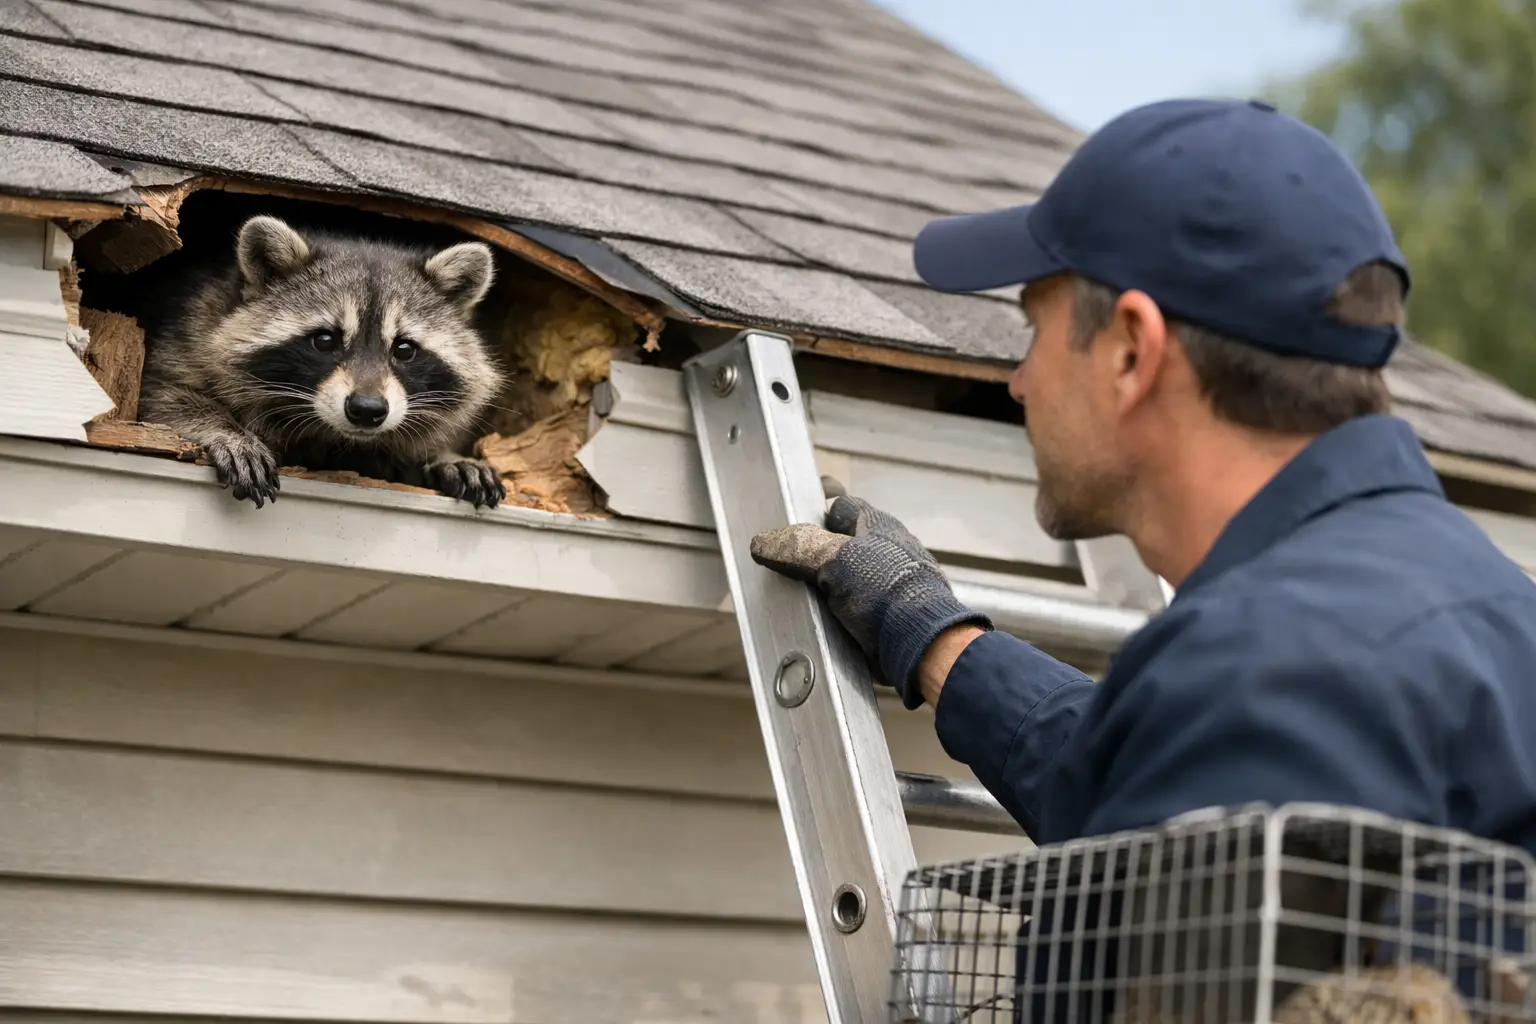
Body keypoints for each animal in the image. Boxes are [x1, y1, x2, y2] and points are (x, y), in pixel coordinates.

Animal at [138, 214, 508, 509]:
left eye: (404, 349)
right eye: (325, 341)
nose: (368, 409)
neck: (333, 437)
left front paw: (447, 456)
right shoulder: (188, 331)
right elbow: (161, 397)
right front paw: (225, 429)